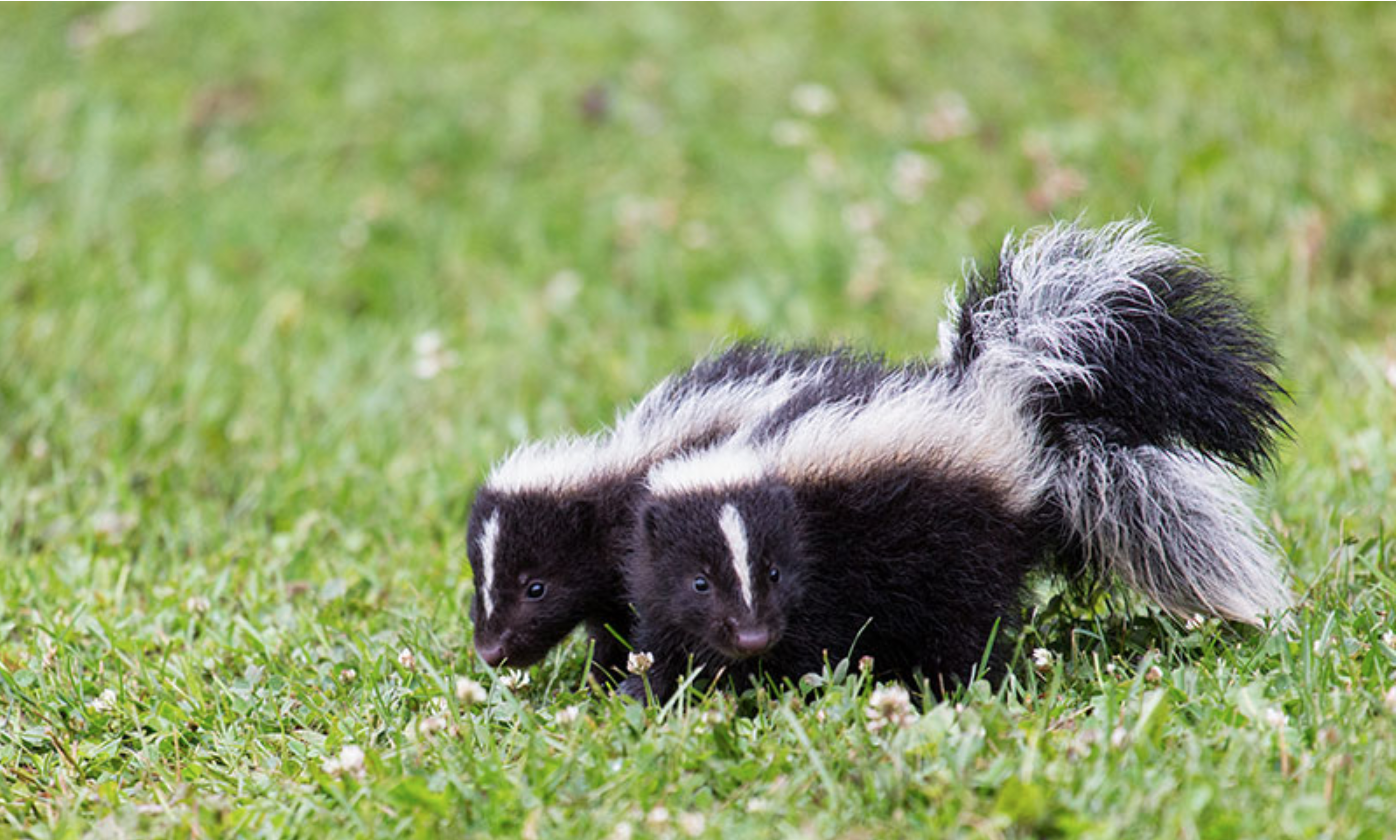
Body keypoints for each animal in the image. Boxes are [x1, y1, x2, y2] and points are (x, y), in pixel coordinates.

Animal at [622, 220, 1284, 700]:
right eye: (700, 581)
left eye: (776, 572)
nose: (752, 636)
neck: (752, 448)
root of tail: (1002, 394)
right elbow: (665, 637)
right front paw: (653, 691)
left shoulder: (827, 568)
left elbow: (818, 641)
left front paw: (777, 688)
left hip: (967, 544)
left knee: (968, 627)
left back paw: (958, 686)